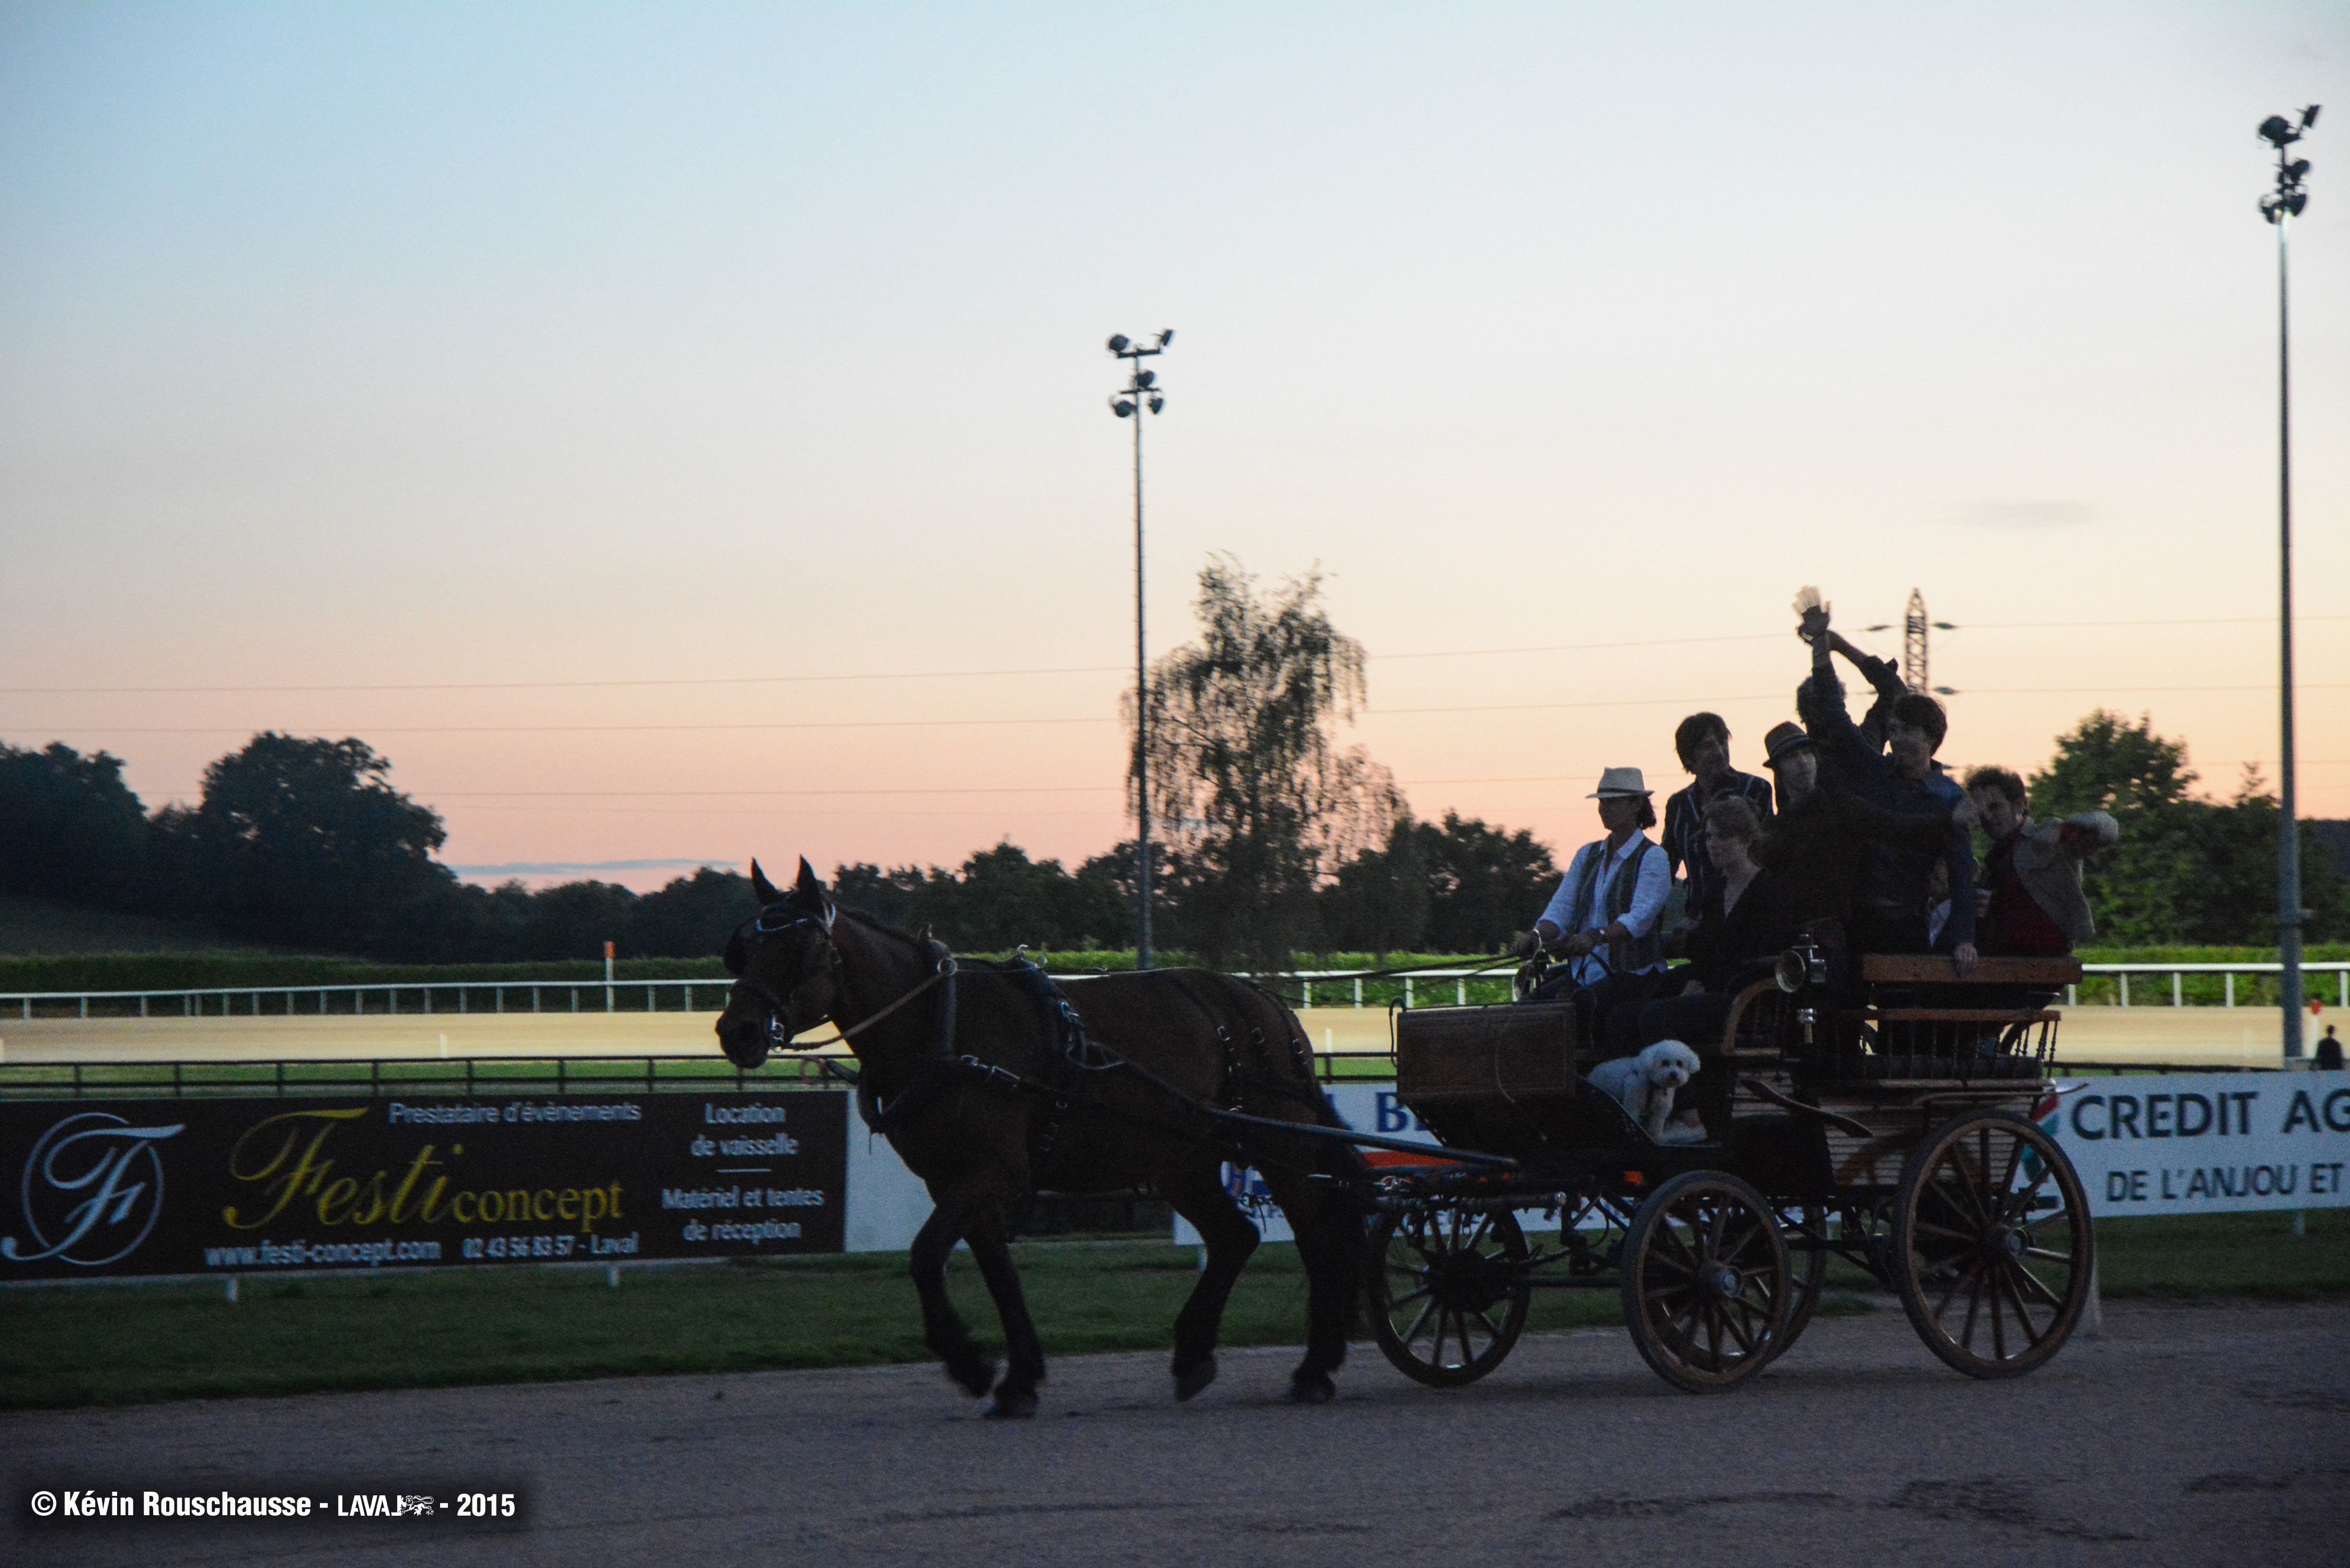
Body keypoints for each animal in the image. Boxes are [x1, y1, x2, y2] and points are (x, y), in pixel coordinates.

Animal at [719, 860, 1372, 1420]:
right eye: (743, 948)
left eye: (799, 948)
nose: (737, 1031)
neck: (942, 1026)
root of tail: (1265, 1003)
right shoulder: (954, 1181)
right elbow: (998, 1275)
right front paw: (1019, 1378)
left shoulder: (992, 1173)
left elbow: (925, 1256)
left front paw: (970, 1362)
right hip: (1178, 1162)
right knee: (1235, 1237)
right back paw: (1193, 1354)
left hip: (1279, 1148)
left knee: (1316, 1239)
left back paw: (1314, 1368)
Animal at [1588, 1044, 1701, 1142]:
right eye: (1664, 1063)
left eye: (1679, 1064)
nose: (1674, 1074)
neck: (1653, 1084)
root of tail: (1593, 1072)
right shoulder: (1633, 1101)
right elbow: (1632, 1116)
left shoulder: (1660, 1108)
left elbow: (1656, 1125)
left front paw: (1656, 1138)